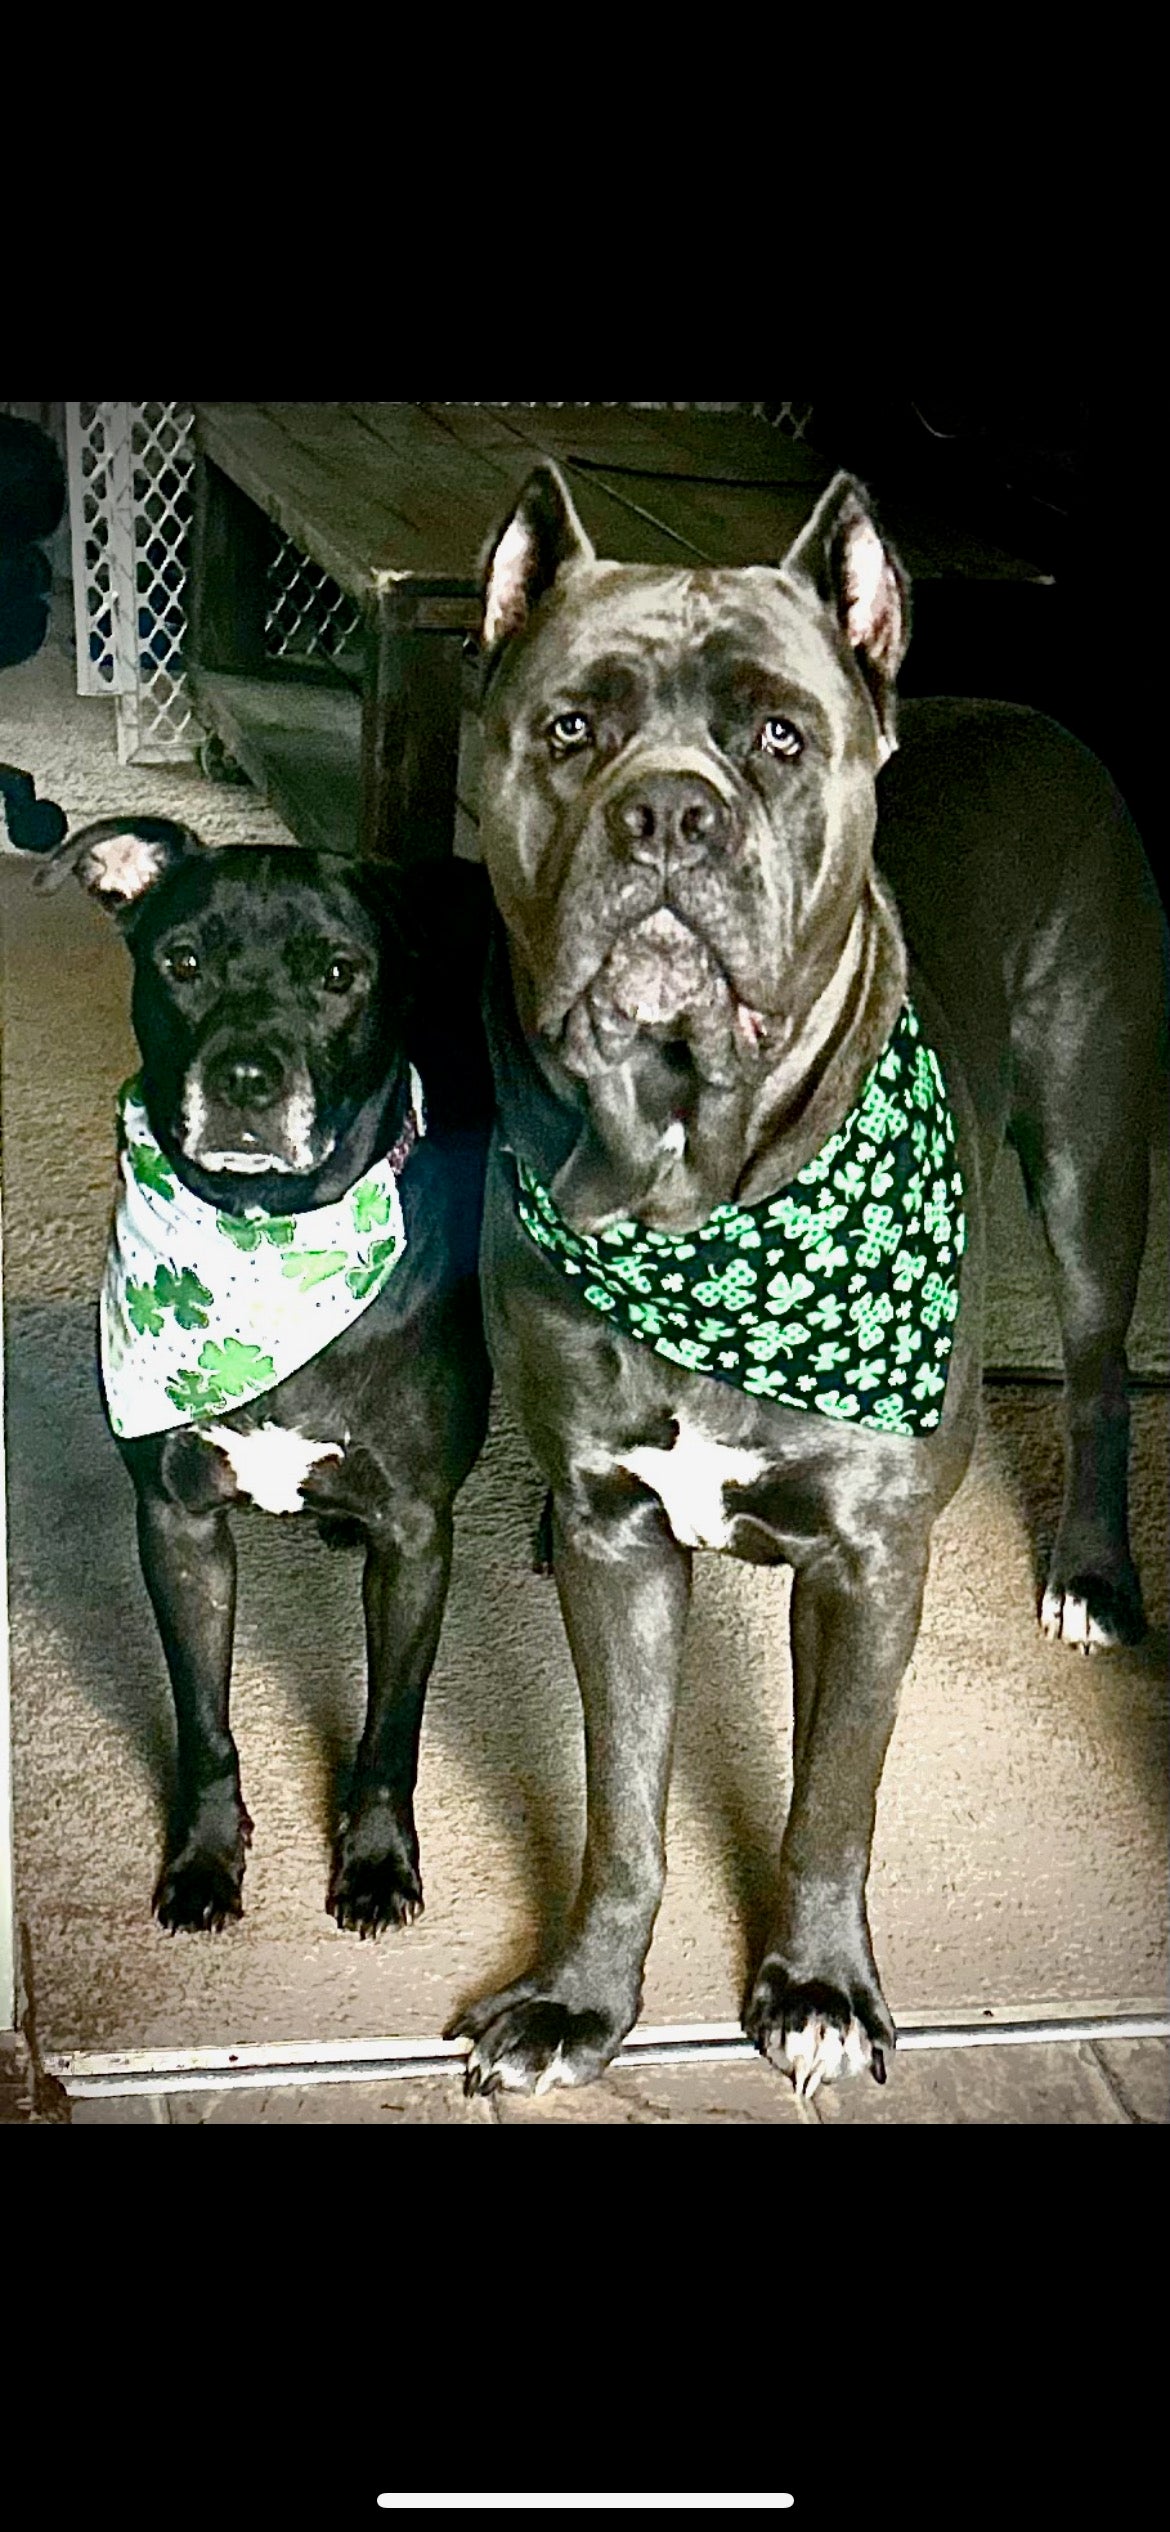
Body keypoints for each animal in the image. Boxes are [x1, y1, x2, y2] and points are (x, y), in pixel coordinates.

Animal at [36, 820, 491, 1924]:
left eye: (338, 974)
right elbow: (203, 1722)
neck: (267, 1243)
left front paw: (377, 1862)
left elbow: (390, 1731)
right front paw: (204, 1859)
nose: (245, 1079)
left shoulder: (418, 1541)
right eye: (183, 962)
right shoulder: (178, 1525)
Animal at [445, 455, 1159, 2096]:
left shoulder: (868, 1564)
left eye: (778, 739)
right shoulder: (625, 1553)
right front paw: (583, 1999)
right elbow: (623, 1806)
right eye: (569, 728)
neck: (692, 1196)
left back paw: (1092, 1575)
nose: (666, 815)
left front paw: (820, 1988)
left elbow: (832, 1796)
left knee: (1097, 1382)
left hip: (1092, 1168)